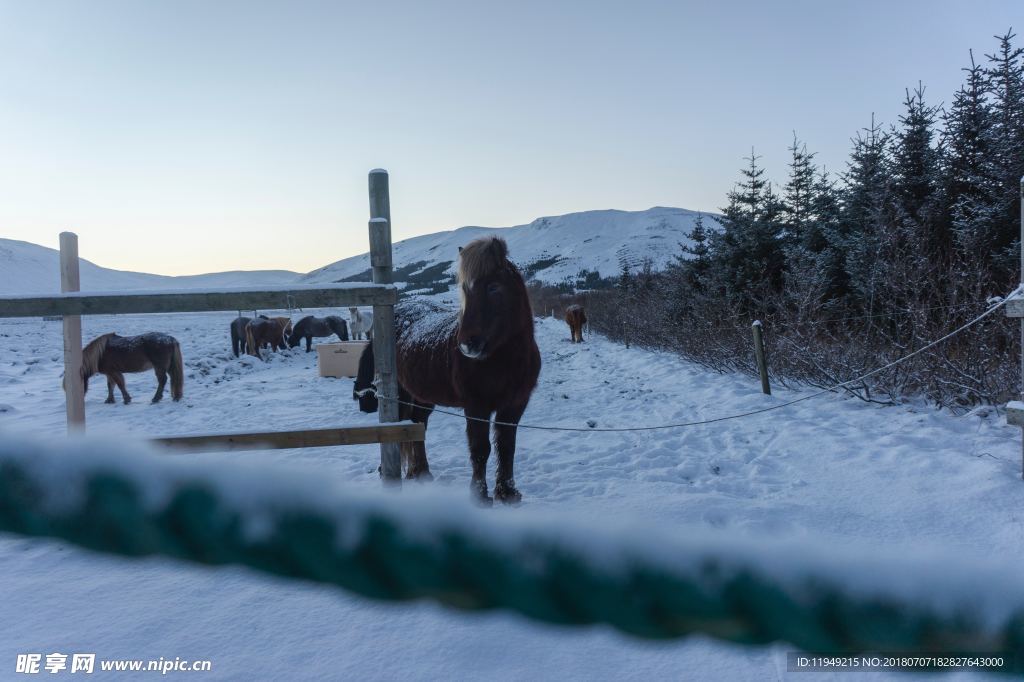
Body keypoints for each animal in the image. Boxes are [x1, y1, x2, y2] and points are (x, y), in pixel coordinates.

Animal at [354, 236, 540, 501]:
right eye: (465, 289)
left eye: (494, 287)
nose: (467, 344)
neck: (504, 358)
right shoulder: (476, 406)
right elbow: (480, 448)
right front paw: (480, 496)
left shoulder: (515, 405)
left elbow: (507, 447)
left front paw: (508, 492)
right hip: (400, 394)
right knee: (398, 426)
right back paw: (389, 472)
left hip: (422, 396)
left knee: (418, 425)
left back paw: (421, 472)